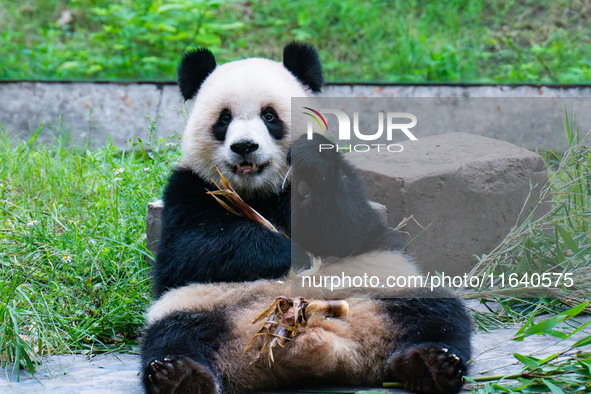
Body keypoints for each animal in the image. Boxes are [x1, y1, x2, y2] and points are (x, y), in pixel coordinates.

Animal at [141, 43, 474, 394]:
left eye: (269, 116)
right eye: (225, 118)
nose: (244, 146)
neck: (258, 192)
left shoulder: (338, 191)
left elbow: (349, 229)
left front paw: (312, 161)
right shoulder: (190, 188)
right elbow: (193, 248)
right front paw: (293, 254)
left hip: (387, 286)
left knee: (437, 315)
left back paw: (431, 363)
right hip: (197, 303)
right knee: (176, 334)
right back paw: (179, 375)